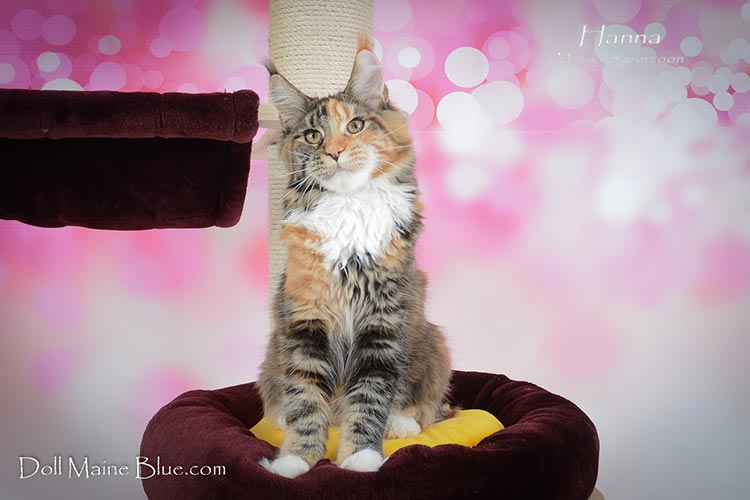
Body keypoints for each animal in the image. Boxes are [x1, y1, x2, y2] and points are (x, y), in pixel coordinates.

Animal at [258, 36, 453, 479]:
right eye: (313, 135)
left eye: (355, 126)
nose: (334, 151)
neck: (349, 211)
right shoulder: (305, 322)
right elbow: (305, 400)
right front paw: (295, 461)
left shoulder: (382, 324)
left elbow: (370, 398)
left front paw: (361, 458)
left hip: (432, 342)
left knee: (424, 407)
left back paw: (401, 423)